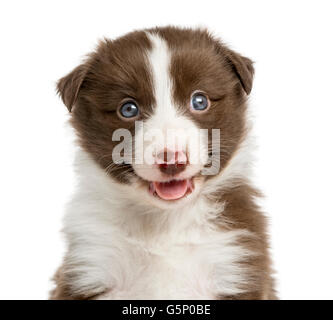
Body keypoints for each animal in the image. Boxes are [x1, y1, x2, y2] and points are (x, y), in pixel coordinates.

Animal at [51, 26, 274, 298]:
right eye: (128, 109)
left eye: (200, 101)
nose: (172, 160)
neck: (165, 222)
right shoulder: (91, 262)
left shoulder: (234, 260)